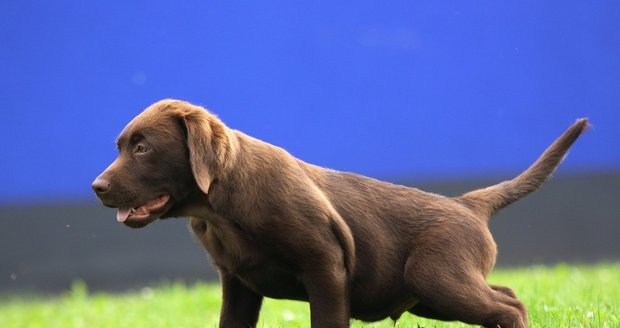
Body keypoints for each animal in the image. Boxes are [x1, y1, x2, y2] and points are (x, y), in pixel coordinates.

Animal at [91, 100, 588, 328]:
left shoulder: (324, 264)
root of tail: (467, 204)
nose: (96, 188)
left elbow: (327, 320)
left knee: (509, 307)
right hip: (429, 294)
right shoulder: (237, 284)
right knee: (505, 294)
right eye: (120, 147)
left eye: (142, 148)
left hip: (434, 278)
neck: (222, 209)